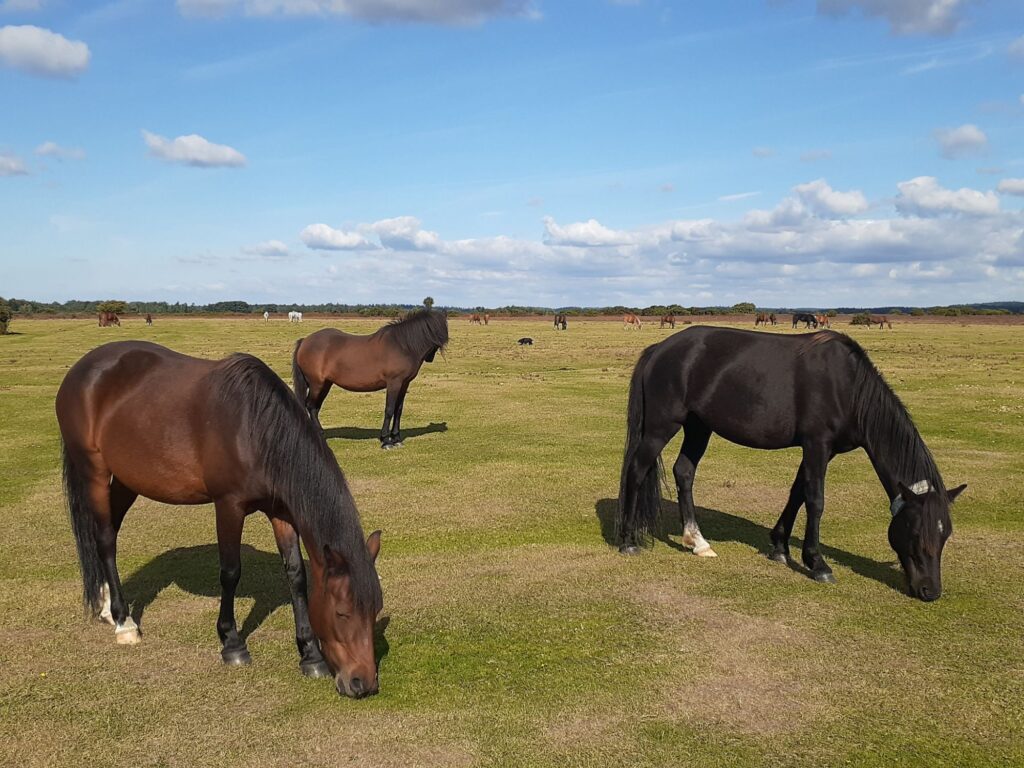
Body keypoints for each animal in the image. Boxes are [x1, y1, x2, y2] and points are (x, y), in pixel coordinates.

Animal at [55, 341, 383, 697]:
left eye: (374, 610)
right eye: (342, 612)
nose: (363, 683)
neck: (255, 429)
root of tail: (82, 369)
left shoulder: (281, 512)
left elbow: (296, 575)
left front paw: (310, 655)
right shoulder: (228, 506)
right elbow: (230, 572)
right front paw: (232, 643)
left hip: (128, 479)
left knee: (109, 531)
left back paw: (106, 606)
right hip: (95, 472)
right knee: (103, 539)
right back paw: (123, 621)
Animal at [292, 309, 449, 448]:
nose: (430, 358)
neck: (402, 345)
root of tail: (305, 341)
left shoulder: (404, 384)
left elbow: (398, 410)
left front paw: (397, 439)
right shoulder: (394, 383)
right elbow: (389, 409)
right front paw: (386, 441)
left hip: (325, 384)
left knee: (315, 408)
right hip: (316, 384)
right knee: (310, 405)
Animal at [615, 327, 965, 601]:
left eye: (945, 534)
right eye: (916, 532)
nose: (930, 591)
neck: (849, 387)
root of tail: (659, 349)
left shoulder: (821, 450)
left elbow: (797, 493)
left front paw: (780, 548)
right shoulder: (817, 445)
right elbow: (815, 500)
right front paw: (818, 564)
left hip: (699, 426)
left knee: (684, 472)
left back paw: (697, 541)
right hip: (661, 427)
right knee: (636, 469)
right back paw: (628, 540)